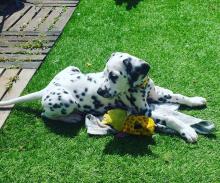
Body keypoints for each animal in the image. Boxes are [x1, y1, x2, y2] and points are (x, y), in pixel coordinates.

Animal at [0, 52, 206, 142]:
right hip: (66, 101)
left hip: (73, 68)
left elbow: (179, 96)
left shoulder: (158, 94)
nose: (100, 91)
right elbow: (170, 117)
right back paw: (72, 117)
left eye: (113, 76)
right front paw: (187, 130)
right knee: (46, 114)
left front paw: (195, 100)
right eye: (105, 72)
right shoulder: (142, 111)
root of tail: (46, 89)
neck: (140, 86)